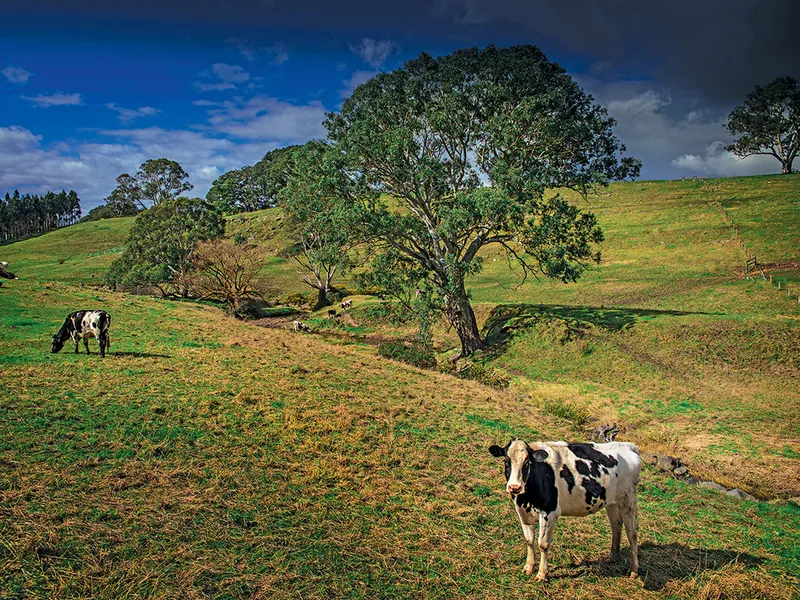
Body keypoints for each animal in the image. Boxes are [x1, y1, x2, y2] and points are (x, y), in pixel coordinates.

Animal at [488, 440, 644, 580]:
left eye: (527, 463)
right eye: (506, 462)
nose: (514, 487)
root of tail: (627, 445)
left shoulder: (549, 513)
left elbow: (543, 544)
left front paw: (542, 574)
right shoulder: (522, 513)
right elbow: (529, 540)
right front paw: (528, 567)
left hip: (628, 498)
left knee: (632, 533)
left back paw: (634, 570)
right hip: (611, 501)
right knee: (616, 524)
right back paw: (612, 557)